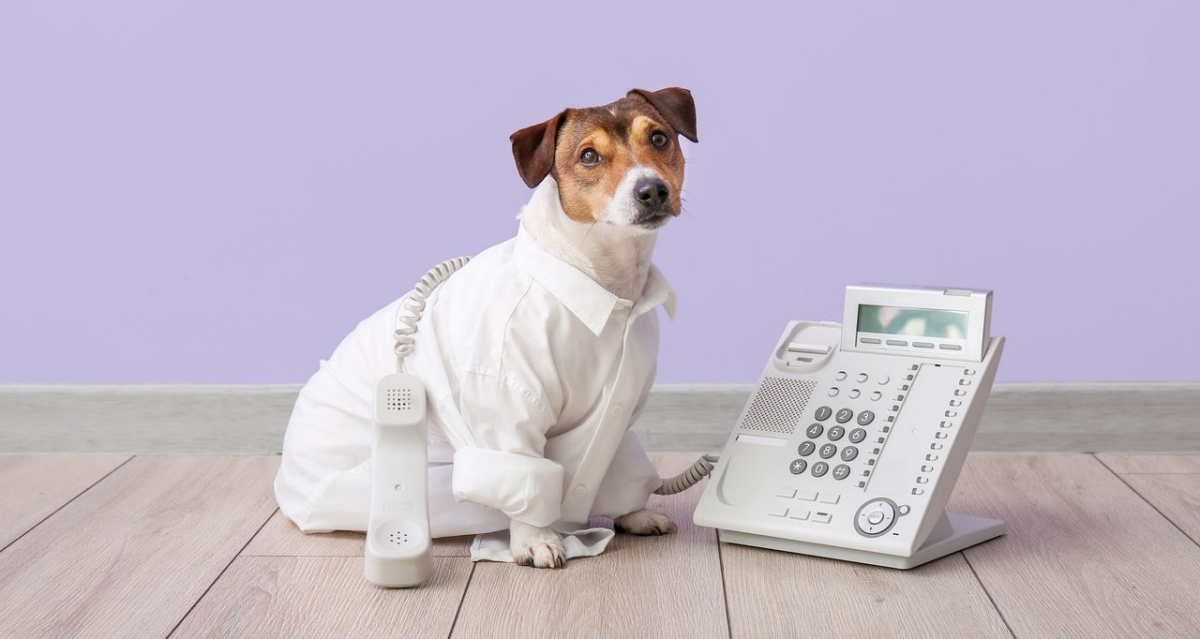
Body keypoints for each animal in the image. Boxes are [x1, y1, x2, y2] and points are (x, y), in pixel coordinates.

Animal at [273, 85, 700, 569]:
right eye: (589, 156)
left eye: (660, 138)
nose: (652, 190)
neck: (592, 276)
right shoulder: (505, 400)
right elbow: (523, 472)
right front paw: (535, 538)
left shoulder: (621, 413)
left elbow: (617, 461)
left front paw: (635, 513)